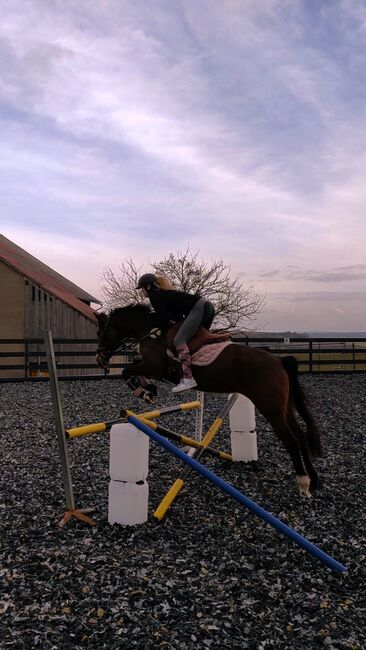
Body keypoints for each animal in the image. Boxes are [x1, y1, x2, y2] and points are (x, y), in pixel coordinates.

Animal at [96, 304, 322, 496]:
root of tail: (279, 360)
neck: (150, 331)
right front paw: (149, 389)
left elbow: (127, 371)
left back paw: (303, 482)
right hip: (284, 408)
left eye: (100, 333)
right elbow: (131, 368)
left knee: (291, 441)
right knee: (301, 437)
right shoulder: (150, 367)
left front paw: (144, 392)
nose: (100, 359)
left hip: (271, 408)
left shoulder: (155, 367)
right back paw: (314, 480)